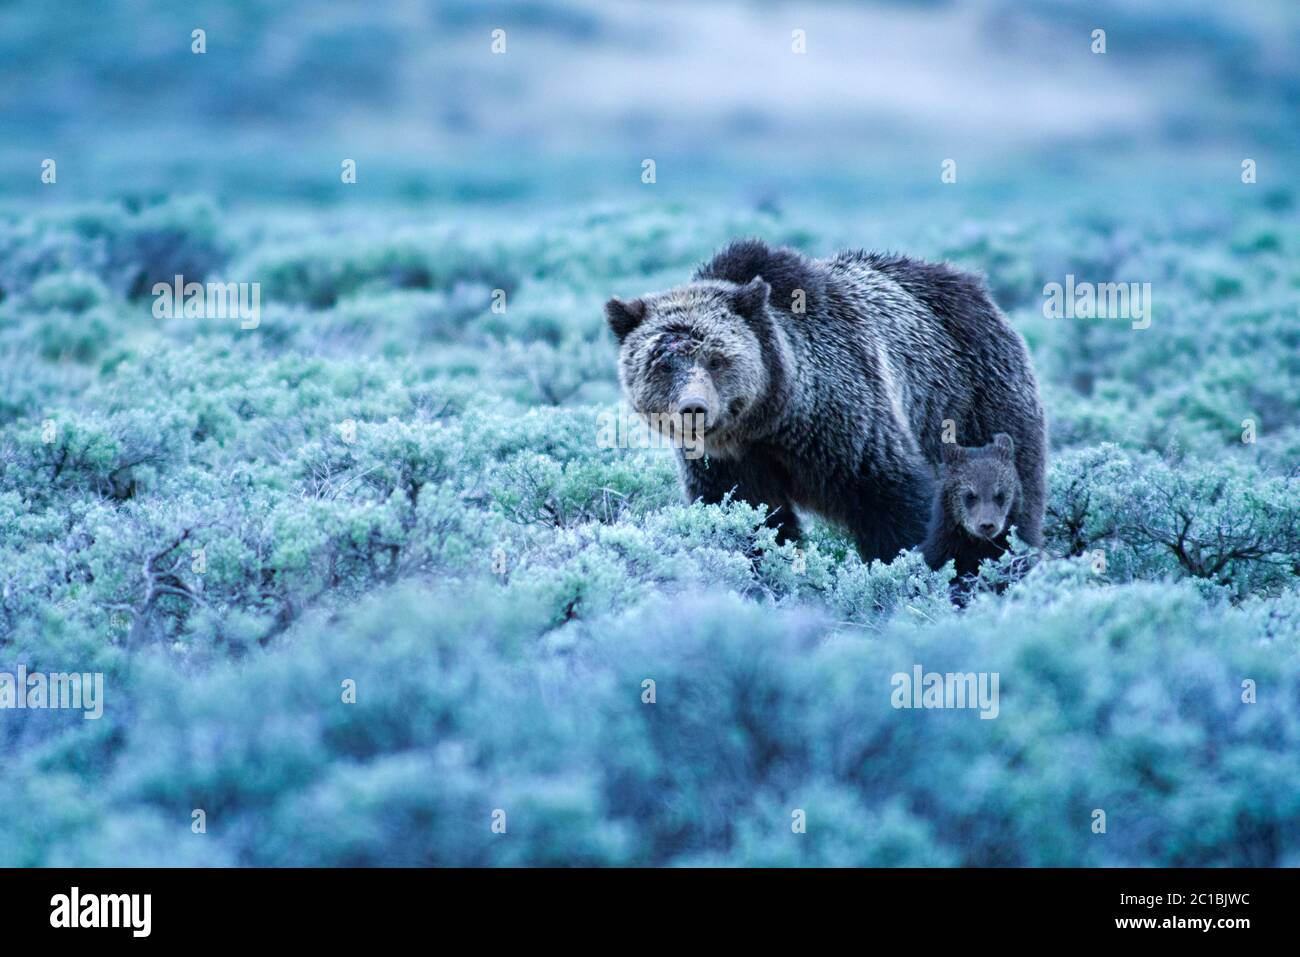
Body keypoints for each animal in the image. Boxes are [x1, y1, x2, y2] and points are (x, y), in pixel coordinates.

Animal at [605, 239, 1045, 564]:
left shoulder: (847, 422)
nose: (694, 409)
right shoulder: (729, 462)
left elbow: (896, 501)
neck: (770, 419)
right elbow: (746, 516)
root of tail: (974, 285)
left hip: (977, 396)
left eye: (716, 358)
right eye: (663, 361)